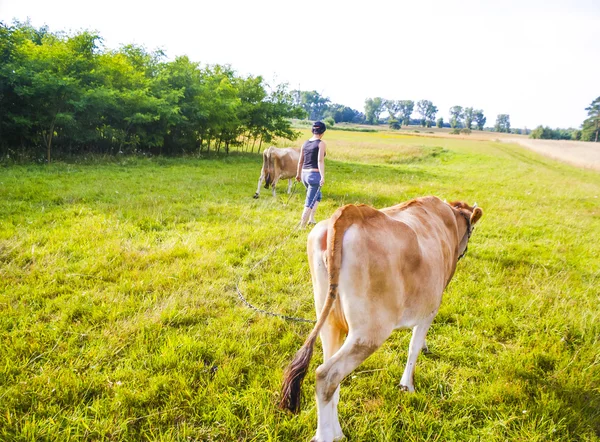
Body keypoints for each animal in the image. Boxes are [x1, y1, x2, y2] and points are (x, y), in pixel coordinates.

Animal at [280, 196, 482, 442]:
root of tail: (350, 212)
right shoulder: (431, 307)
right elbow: (413, 347)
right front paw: (407, 385)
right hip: (369, 332)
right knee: (327, 376)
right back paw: (326, 435)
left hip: (328, 320)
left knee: (328, 370)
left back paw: (335, 432)